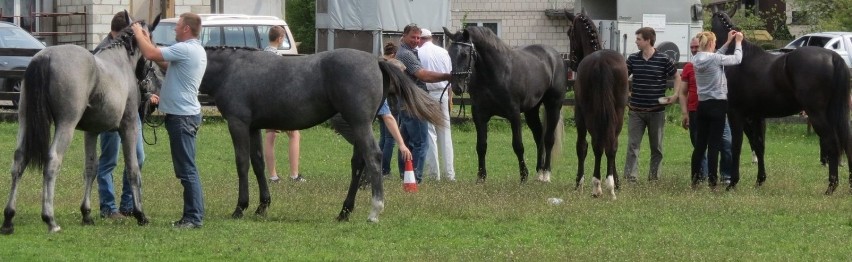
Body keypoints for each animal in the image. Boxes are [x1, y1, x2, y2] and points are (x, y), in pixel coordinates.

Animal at [200, 46, 440, 221]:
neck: (230, 69)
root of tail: (377, 61)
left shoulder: (238, 123)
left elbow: (242, 163)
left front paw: (240, 207)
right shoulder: (253, 127)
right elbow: (258, 163)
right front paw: (262, 206)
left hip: (360, 123)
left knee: (373, 157)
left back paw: (374, 211)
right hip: (361, 125)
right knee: (358, 163)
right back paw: (344, 212)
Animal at [442, 26, 568, 182]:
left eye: (464, 54)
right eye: (449, 54)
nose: (457, 87)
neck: (496, 73)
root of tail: (555, 56)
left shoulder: (514, 114)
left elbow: (518, 146)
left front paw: (523, 176)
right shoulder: (479, 115)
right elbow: (481, 146)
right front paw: (481, 177)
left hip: (553, 106)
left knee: (549, 139)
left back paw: (546, 173)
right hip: (531, 111)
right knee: (539, 136)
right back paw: (539, 172)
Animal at [564, 12, 632, 199]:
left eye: (569, 33)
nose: (572, 63)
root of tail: (602, 62)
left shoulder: (579, 115)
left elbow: (582, 147)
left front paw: (579, 182)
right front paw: (616, 181)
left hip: (590, 114)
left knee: (596, 144)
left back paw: (597, 185)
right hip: (619, 113)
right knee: (611, 145)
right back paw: (610, 184)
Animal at [712, 11, 852, 194]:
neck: (738, 60)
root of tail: (833, 56)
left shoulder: (737, 114)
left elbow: (737, 146)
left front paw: (733, 183)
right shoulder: (755, 116)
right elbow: (759, 145)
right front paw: (760, 180)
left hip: (817, 114)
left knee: (832, 144)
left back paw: (831, 187)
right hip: (836, 114)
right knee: (847, 143)